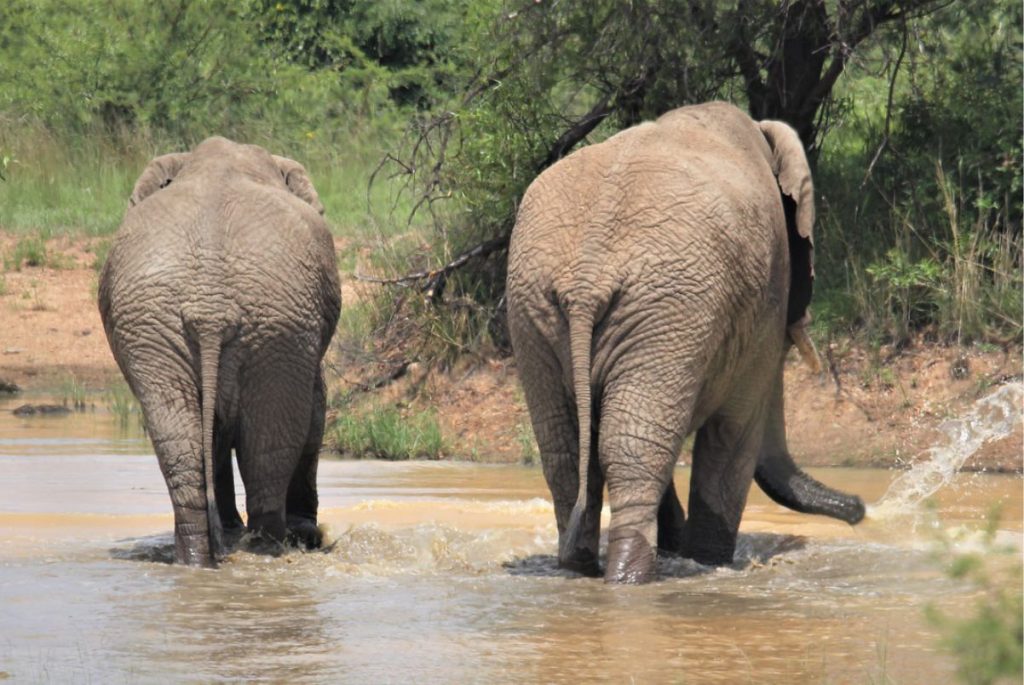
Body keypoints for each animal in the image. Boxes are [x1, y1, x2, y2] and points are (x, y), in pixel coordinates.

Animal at [101, 135, 346, 565]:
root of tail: (210, 308)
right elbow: (315, 410)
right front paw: (304, 533)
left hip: (162, 332)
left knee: (180, 440)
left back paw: (201, 556)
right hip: (278, 327)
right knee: (269, 448)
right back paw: (267, 548)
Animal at [503, 101, 864, 581]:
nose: (860, 508)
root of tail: (586, 279)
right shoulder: (767, 297)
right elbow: (733, 434)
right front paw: (709, 560)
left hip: (539, 313)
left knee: (570, 453)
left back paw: (579, 568)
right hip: (664, 309)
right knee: (633, 451)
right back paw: (630, 578)